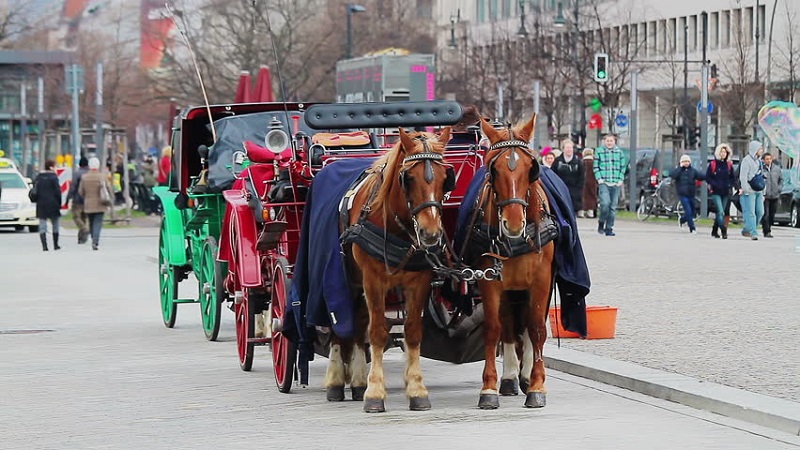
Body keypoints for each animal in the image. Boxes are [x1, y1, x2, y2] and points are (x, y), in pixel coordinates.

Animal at [322, 125, 454, 412]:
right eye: (409, 178)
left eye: (445, 178)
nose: (430, 234)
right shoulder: (373, 281)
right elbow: (378, 332)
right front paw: (374, 393)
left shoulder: (419, 282)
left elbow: (412, 331)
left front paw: (416, 390)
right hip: (342, 279)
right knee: (340, 324)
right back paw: (337, 381)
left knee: (358, 324)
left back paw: (358, 381)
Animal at [472, 114, 552, 410]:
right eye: (494, 170)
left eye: (532, 168)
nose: (514, 223)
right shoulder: (490, 281)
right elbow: (494, 328)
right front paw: (489, 387)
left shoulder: (541, 280)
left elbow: (537, 328)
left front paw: (537, 385)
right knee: (507, 324)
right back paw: (508, 378)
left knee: (529, 325)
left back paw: (526, 375)